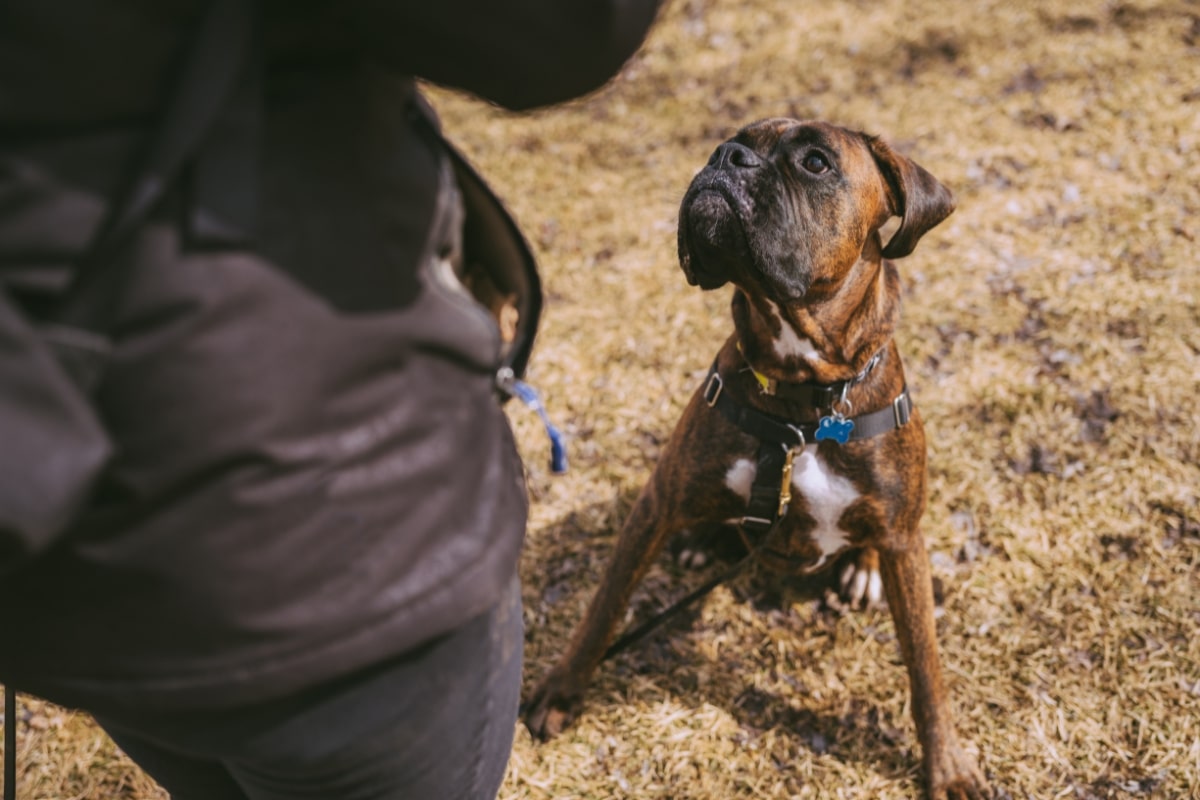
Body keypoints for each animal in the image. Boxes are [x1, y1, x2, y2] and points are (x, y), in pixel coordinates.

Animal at [528, 118, 993, 800]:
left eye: (816, 162)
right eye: (735, 140)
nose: (728, 157)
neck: (805, 402)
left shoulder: (907, 542)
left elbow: (926, 670)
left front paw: (948, 767)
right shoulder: (657, 502)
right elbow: (603, 609)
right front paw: (561, 692)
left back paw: (861, 572)